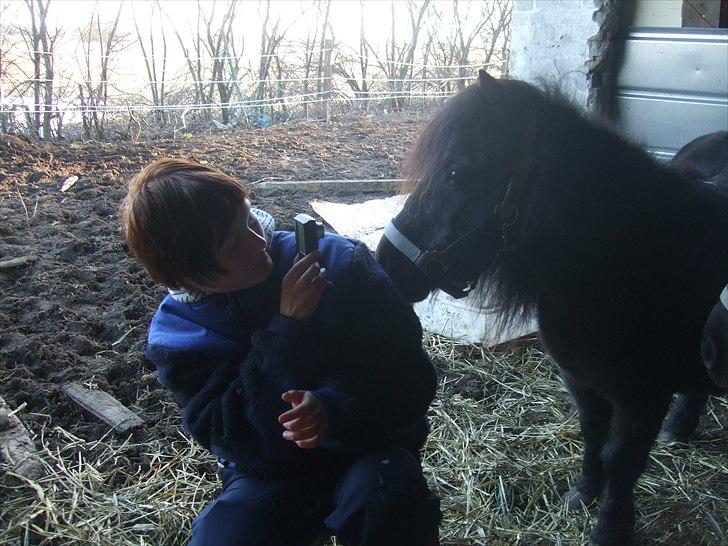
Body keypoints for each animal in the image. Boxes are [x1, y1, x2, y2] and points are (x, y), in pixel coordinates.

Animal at [376, 71, 728, 540]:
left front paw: (610, 528)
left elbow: (622, 460)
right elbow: (593, 434)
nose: (387, 259)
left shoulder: (643, 397)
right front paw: (582, 495)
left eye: (456, 171)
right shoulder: (580, 380)